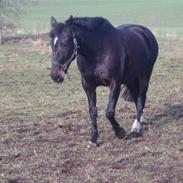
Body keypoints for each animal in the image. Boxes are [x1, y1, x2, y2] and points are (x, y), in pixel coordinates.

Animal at [49, 15, 158, 147]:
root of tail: (145, 32)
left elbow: (109, 112)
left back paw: (136, 128)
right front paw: (93, 139)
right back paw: (141, 120)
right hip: (130, 79)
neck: (98, 51)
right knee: (136, 97)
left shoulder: (115, 83)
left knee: (141, 97)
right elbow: (93, 112)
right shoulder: (88, 85)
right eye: (51, 44)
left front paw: (120, 132)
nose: (55, 75)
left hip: (145, 74)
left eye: (64, 44)